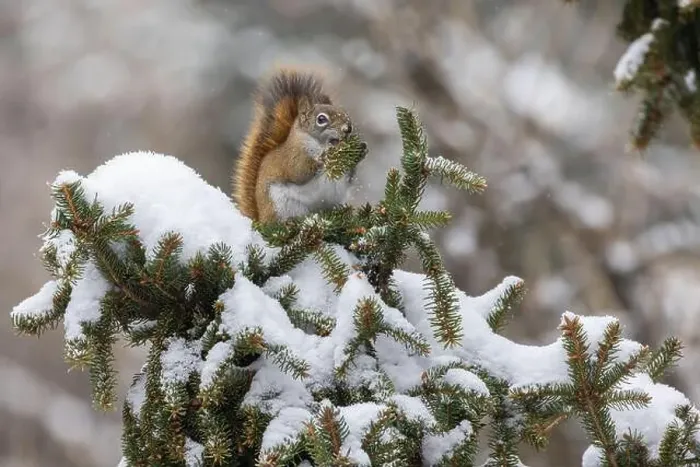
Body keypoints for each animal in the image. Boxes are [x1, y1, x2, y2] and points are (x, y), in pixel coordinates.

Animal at [232, 68, 359, 224]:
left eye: (345, 114)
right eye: (321, 119)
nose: (348, 128)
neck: (320, 144)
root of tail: (261, 219)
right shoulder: (293, 157)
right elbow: (299, 171)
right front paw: (323, 158)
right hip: (281, 206)